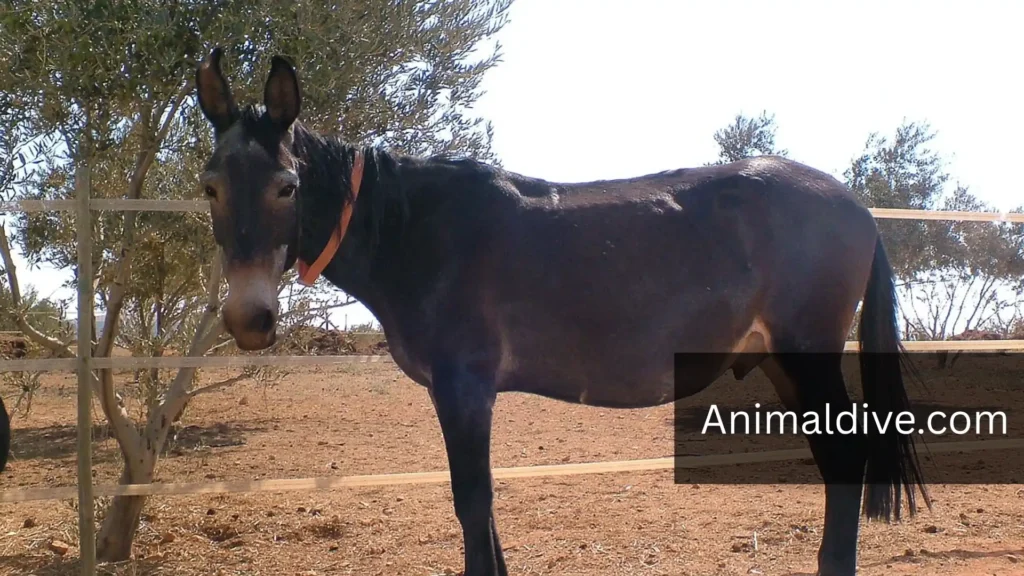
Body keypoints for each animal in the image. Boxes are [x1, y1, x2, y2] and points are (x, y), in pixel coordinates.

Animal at [193, 47, 929, 576]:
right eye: (210, 187)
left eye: (287, 186)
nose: (249, 320)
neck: (415, 229)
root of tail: (857, 205)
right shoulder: (461, 393)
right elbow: (480, 507)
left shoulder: (464, 387)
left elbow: (472, 500)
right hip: (779, 360)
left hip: (807, 354)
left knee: (846, 456)